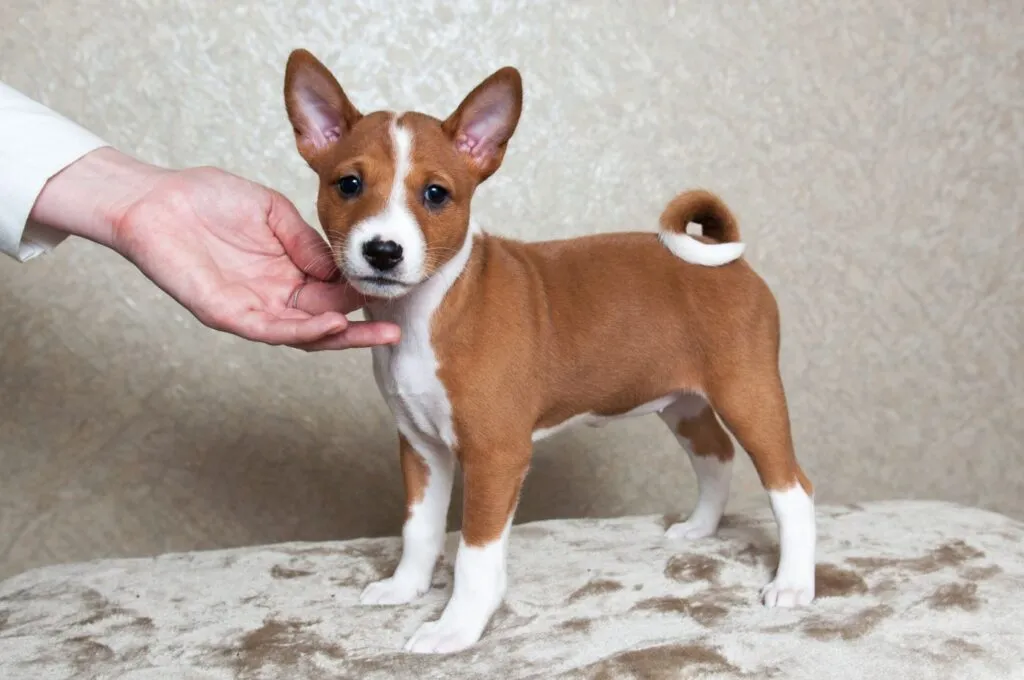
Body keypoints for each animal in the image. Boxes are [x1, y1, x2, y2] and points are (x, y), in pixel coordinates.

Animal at [280, 47, 815, 655]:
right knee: (716, 457)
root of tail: (722, 255)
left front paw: (458, 626)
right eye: (348, 184)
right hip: (685, 403)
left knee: (793, 490)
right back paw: (700, 528)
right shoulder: (421, 447)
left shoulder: (496, 454)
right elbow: (419, 529)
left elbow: (474, 556)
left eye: (435, 194)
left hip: (749, 395)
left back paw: (793, 584)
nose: (384, 250)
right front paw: (406, 587)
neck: (425, 313)